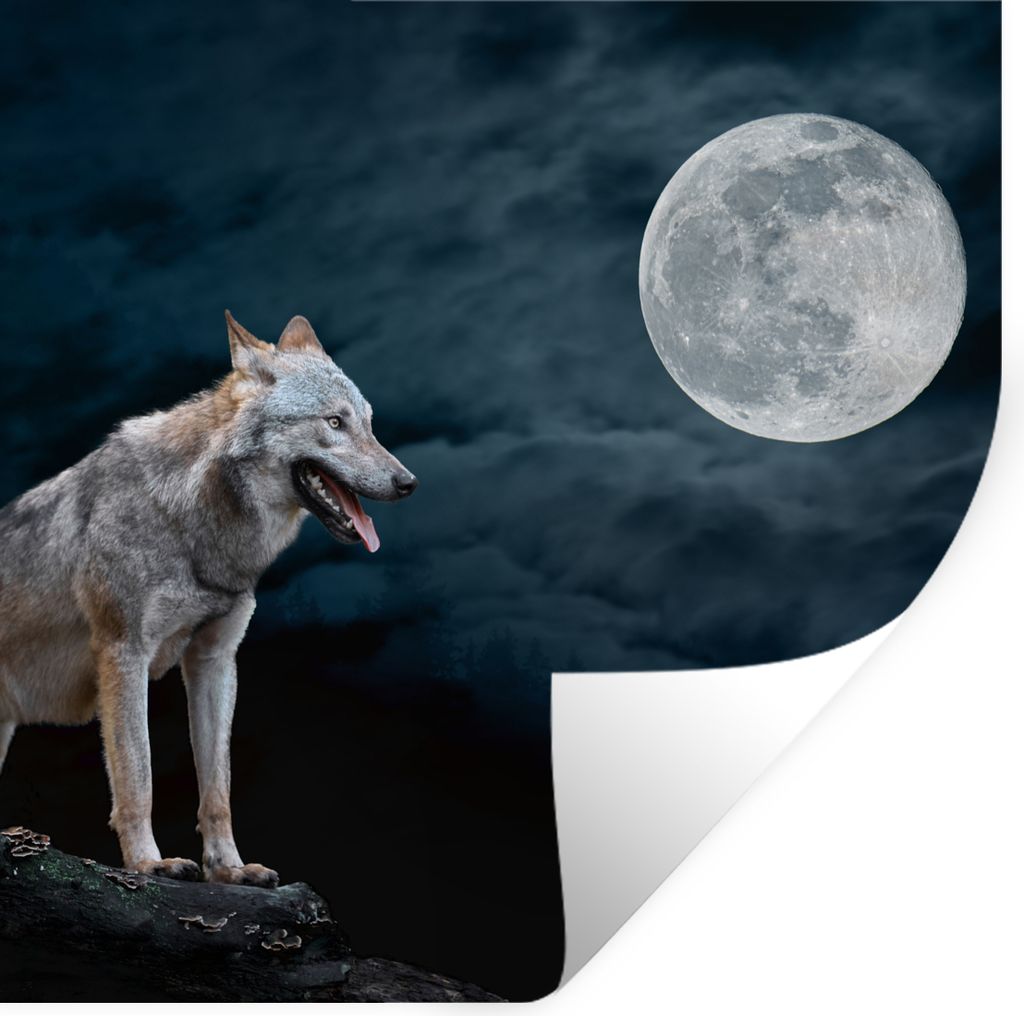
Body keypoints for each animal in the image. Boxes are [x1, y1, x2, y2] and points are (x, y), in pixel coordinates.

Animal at [0, 312, 417, 886]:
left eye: (369, 424)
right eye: (334, 422)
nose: (408, 482)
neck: (191, 523)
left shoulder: (214, 660)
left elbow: (217, 788)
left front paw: (229, 870)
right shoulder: (123, 655)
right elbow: (139, 777)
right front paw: (149, 863)